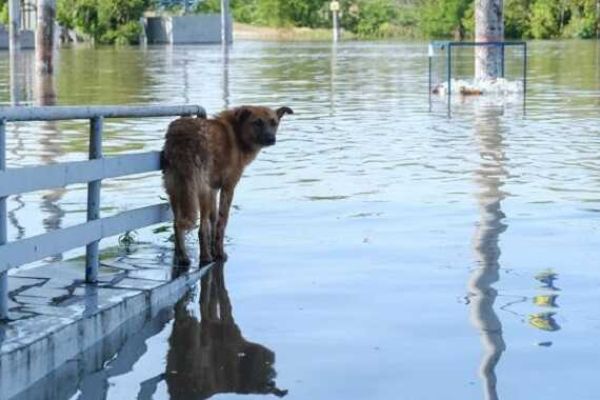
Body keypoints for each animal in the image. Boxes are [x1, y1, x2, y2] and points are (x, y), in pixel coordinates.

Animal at [162, 105, 292, 266]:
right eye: (257, 122)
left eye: (274, 123)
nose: (271, 139)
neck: (238, 133)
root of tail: (182, 134)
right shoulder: (228, 187)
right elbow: (221, 222)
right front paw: (218, 253)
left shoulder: (213, 189)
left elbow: (213, 218)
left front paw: (213, 247)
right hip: (199, 190)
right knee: (201, 228)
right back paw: (205, 257)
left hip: (175, 189)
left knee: (176, 225)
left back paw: (182, 258)